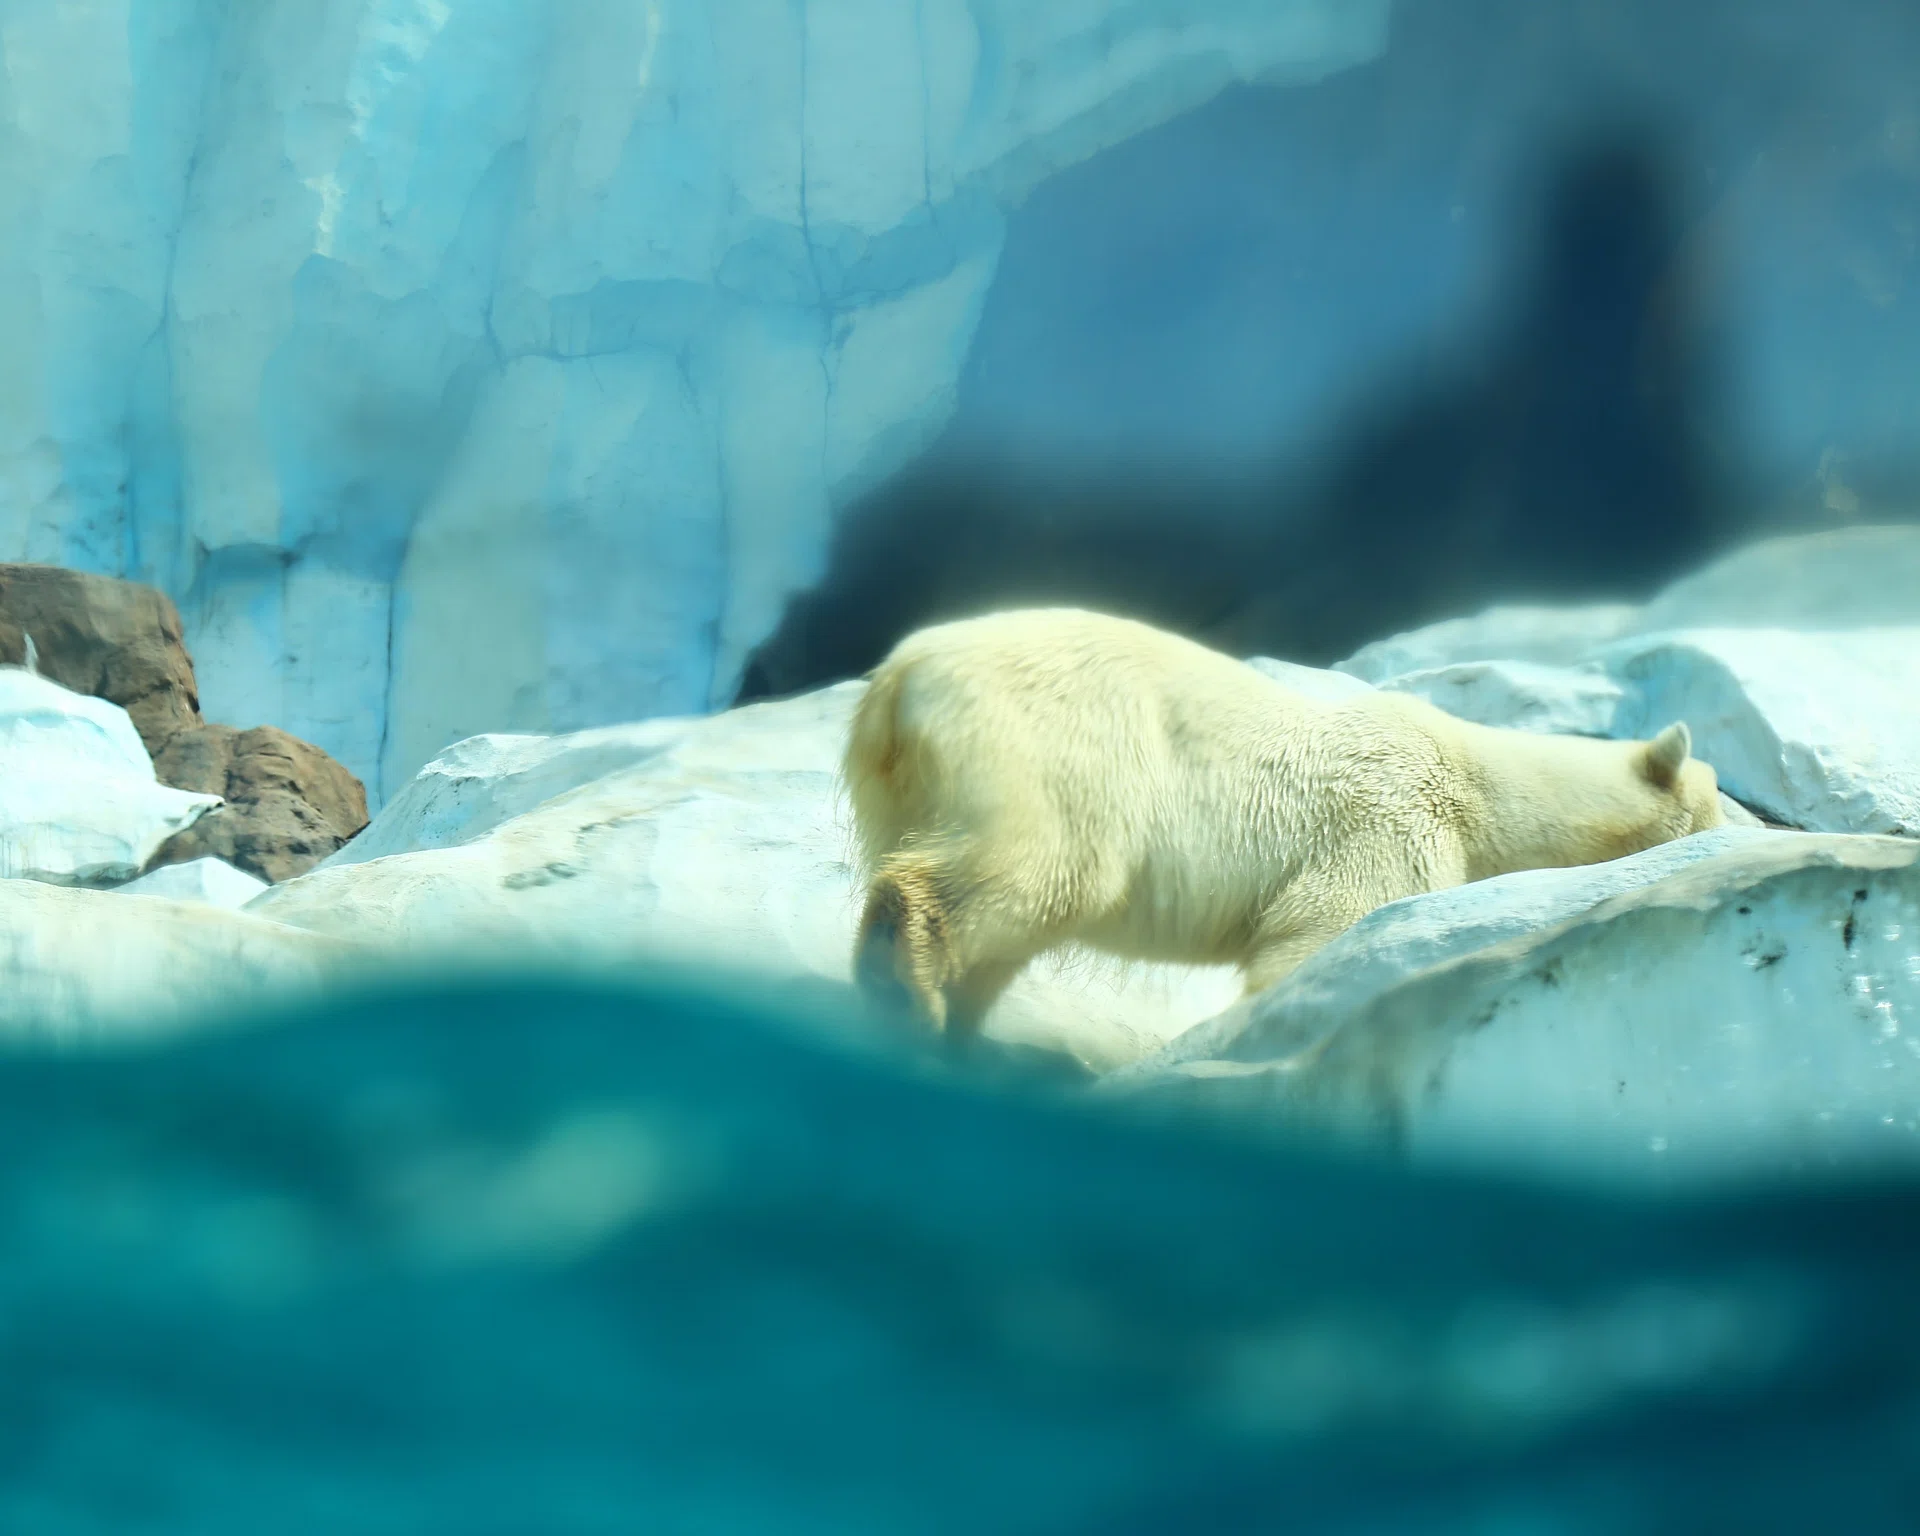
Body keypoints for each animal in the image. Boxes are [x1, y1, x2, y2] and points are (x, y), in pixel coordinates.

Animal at [844, 607, 1725, 1040]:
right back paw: (907, 985)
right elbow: (1317, 936)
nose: (1744, 816)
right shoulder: (1391, 821)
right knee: (1049, 868)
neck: (1476, 783)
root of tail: (899, 679)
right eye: (1727, 803)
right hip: (1060, 746)